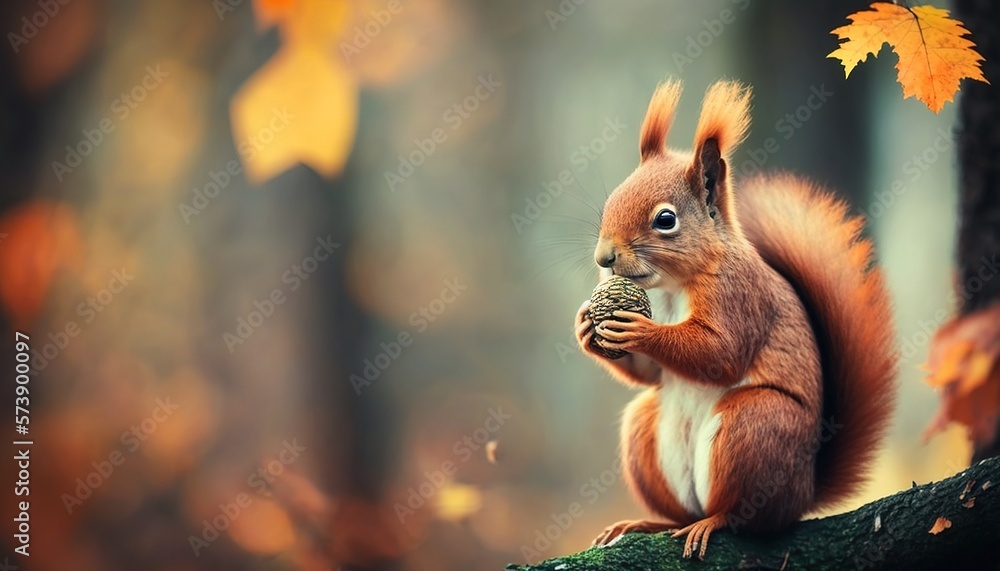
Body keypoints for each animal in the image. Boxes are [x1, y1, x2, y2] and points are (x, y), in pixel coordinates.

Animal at [580, 79, 900, 560]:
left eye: (666, 219)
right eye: (610, 203)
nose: (604, 258)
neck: (674, 285)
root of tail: (804, 493)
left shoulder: (740, 294)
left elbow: (721, 352)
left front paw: (642, 330)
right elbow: (651, 374)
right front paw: (585, 326)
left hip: (754, 425)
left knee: (745, 517)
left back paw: (713, 522)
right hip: (645, 432)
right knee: (679, 507)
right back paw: (647, 523)